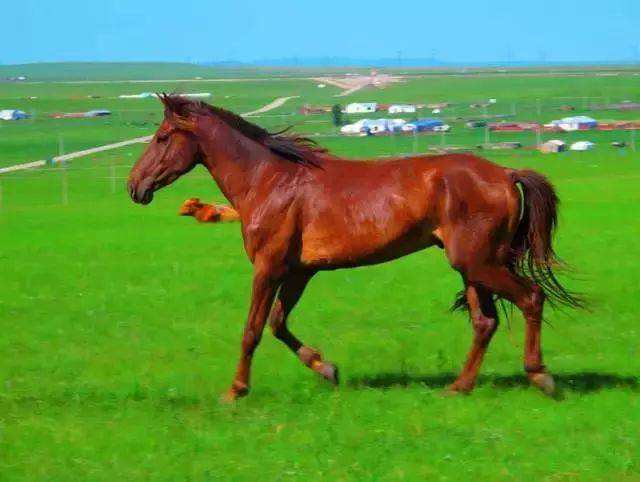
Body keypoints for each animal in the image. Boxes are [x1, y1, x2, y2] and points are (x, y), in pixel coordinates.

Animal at [128, 94, 581, 401]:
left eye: (163, 137)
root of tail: (505, 173)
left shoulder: (268, 267)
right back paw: (459, 386)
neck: (270, 180)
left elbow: (252, 330)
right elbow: (278, 324)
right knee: (485, 322)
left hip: (479, 262)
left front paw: (235, 390)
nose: (135, 186)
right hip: (471, 268)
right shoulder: (299, 271)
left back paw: (541, 376)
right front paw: (326, 368)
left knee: (531, 298)